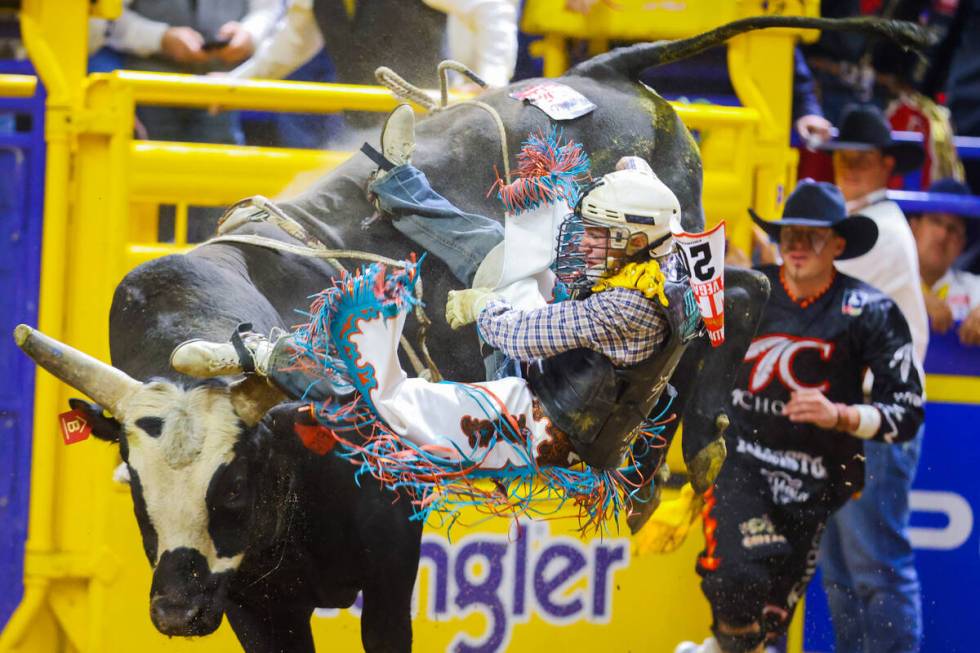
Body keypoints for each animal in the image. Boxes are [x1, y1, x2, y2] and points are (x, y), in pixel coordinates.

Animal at [19, 11, 932, 652]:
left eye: (233, 483)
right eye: (136, 489)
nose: (174, 607)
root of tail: (606, 68)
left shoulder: (390, 559)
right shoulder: (252, 601)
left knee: (737, 290)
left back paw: (692, 448)